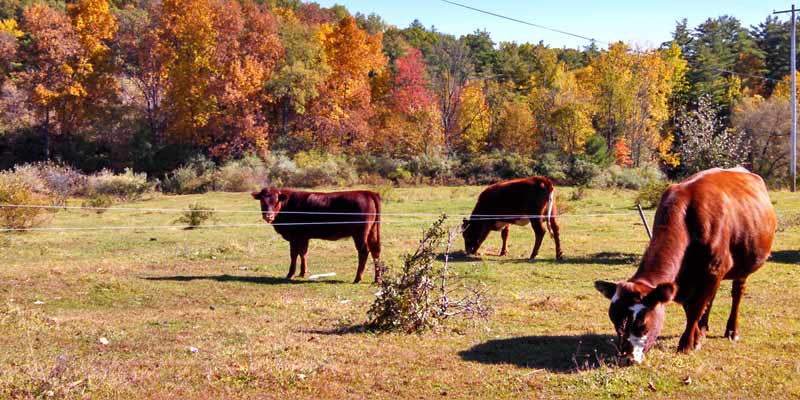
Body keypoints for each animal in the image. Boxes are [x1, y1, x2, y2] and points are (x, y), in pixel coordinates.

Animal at [253, 189, 384, 282]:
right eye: (262, 201)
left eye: (276, 201)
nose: (268, 216)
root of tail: (367, 192)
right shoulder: (303, 236)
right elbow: (303, 253)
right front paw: (302, 273)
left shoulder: (294, 236)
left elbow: (294, 254)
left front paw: (290, 274)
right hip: (372, 231)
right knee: (375, 251)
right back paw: (377, 279)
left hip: (360, 233)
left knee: (364, 251)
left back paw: (358, 278)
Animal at [592, 167, 776, 364]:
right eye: (615, 322)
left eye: (643, 325)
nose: (626, 358)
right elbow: (692, 309)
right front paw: (696, 337)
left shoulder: (714, 269)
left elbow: (696, 309)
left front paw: (687, 344)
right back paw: (703, 328)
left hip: (743, 265)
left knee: (737, 294)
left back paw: (732, 331)